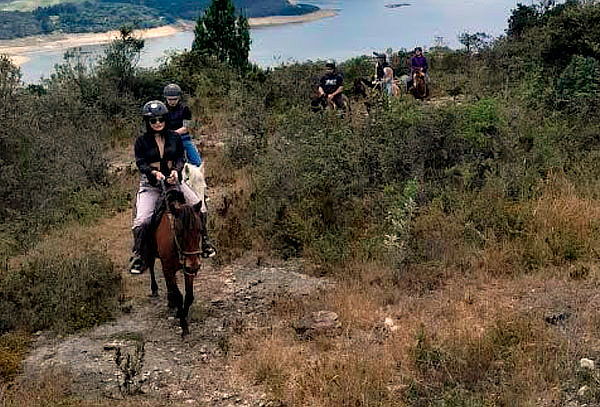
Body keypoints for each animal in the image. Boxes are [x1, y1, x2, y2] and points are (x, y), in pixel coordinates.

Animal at [145, 188, 204, 338]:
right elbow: (179, 296)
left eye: (200, 230)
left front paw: (181, 313)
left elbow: (189, 295)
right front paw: (184, 326)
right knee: (151, 267)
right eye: (179, 232)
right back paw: (155, 289)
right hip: (152, 254)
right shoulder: (169, 268)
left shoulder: (186, 268)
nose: (194, 266)